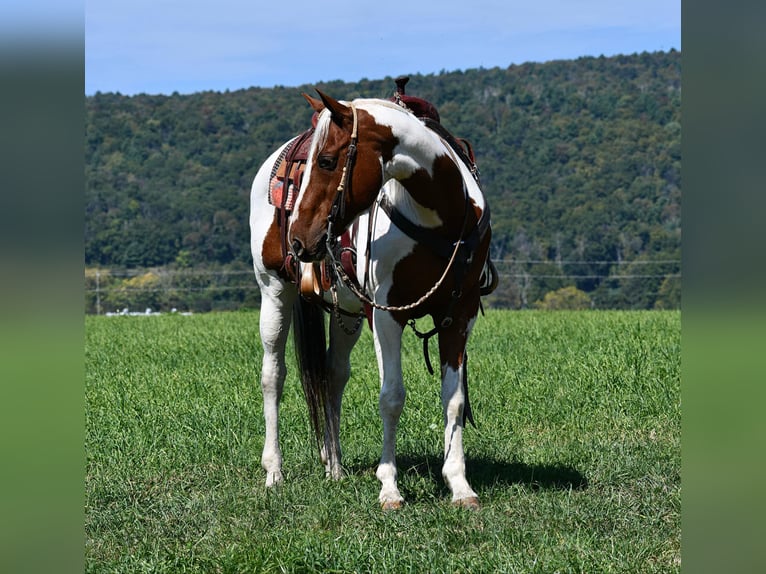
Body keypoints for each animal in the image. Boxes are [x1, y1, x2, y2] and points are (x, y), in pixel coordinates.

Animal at [284, 92, 496, 510]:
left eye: (327, 160)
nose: (298, 239)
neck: (439, 216)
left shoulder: (459, 315)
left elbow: (454, 400)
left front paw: (459, 484)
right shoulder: (384, 315)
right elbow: (392, 397)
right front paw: (389, 487)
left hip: (347, 315)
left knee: (332, 376)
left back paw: (334, 464)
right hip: (276, 295)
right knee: (273, 375)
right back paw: (274, 473)